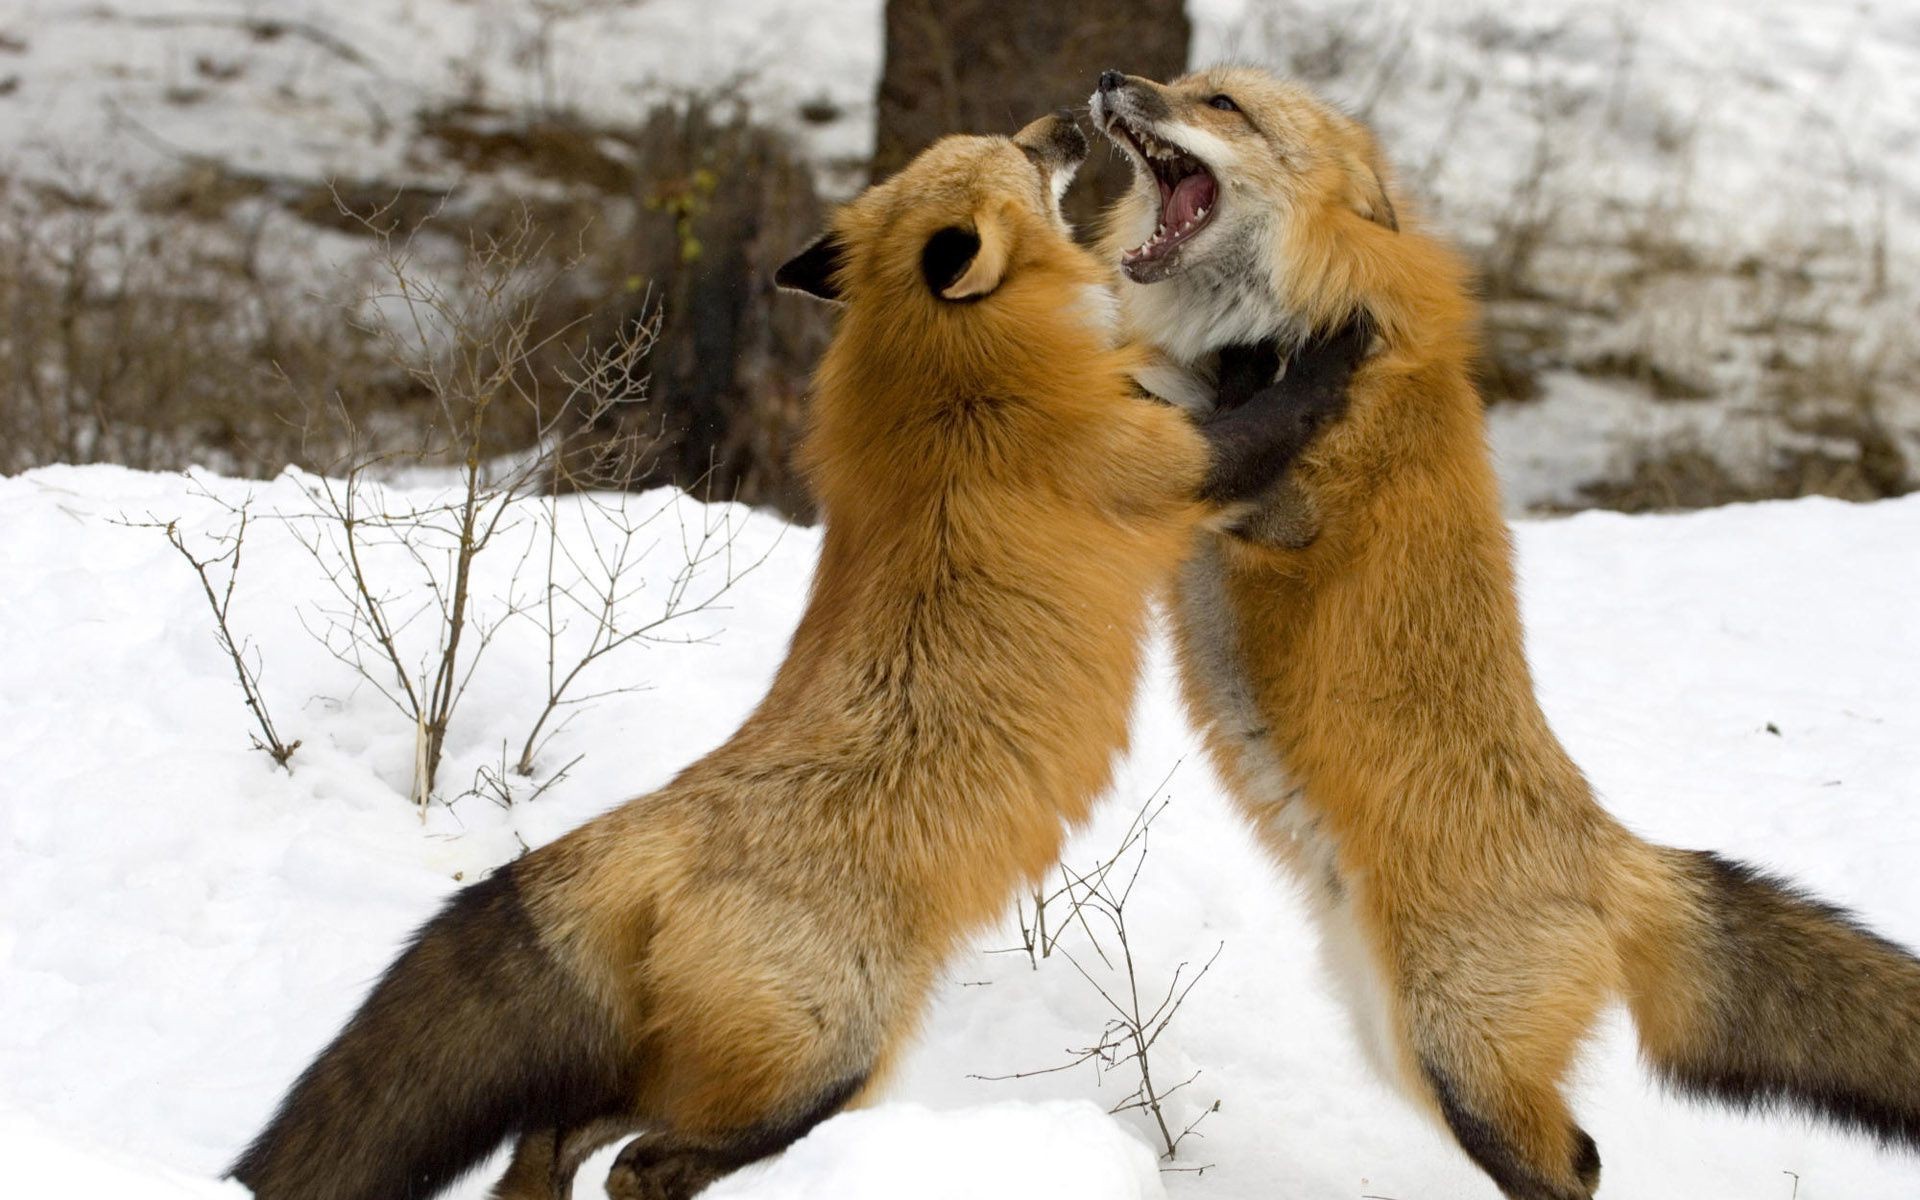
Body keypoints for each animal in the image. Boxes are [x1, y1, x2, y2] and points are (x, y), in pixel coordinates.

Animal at [228, 109, 1367, 1198]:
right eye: (1018, 155)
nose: (1071, 120)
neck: (947, 382)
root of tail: (641, 832)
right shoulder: (1167, 465)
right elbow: (1281, 410)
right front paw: (1339, 336)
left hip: (679, 1067)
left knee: (546, 1146)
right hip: (829, 1061)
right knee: (641, 1163)